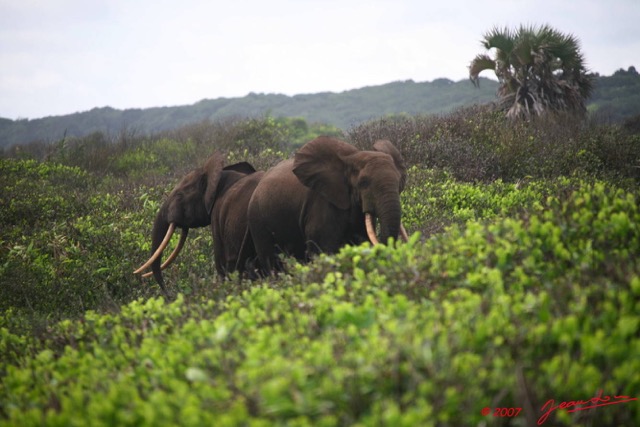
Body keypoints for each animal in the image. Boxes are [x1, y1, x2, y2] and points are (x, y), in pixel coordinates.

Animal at [248, 136, 408, 274]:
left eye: (399, 181)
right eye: (363, 182)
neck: (350, 159)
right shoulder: (322, 204)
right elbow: (324, 250)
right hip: (257, 220)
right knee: (270, 260)